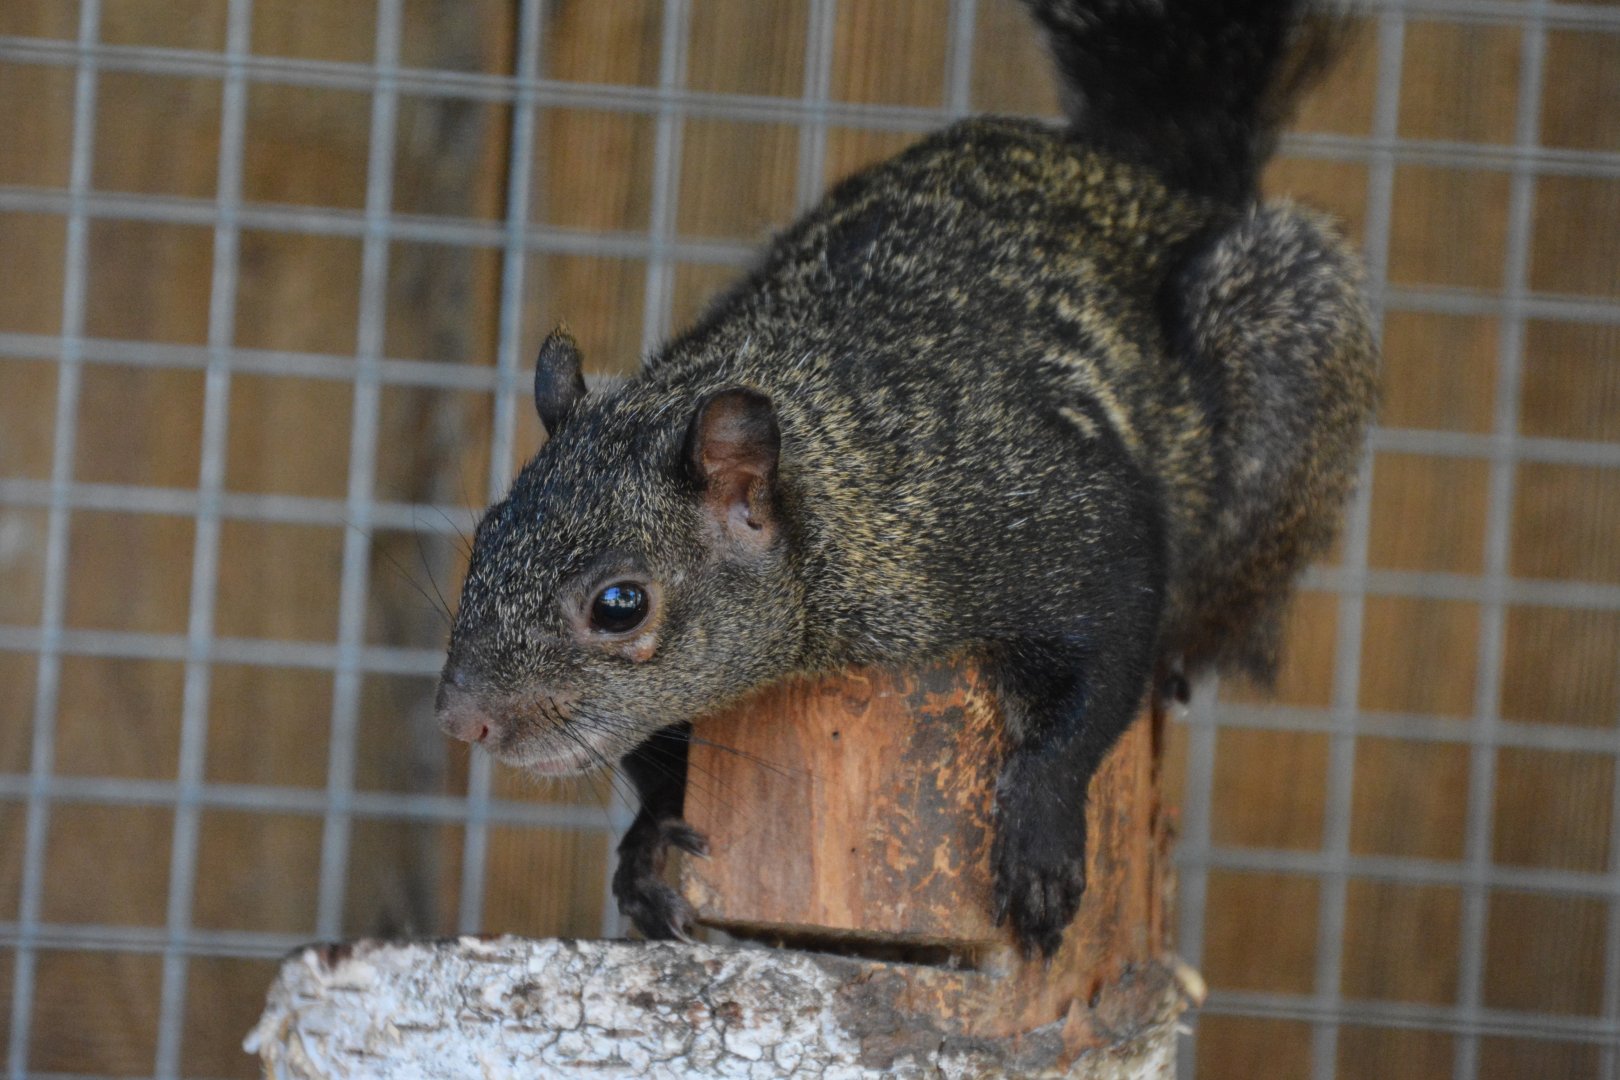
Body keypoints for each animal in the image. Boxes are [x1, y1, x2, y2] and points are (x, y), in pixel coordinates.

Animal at [436, 0, 1378, 958]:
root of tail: (1153, 176)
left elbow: (1104, 667)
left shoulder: (1049, 510)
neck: (841, 485)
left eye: (619, 604)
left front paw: (1041, 842)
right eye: (484, 543)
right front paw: (649, 838)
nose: (463, 719)